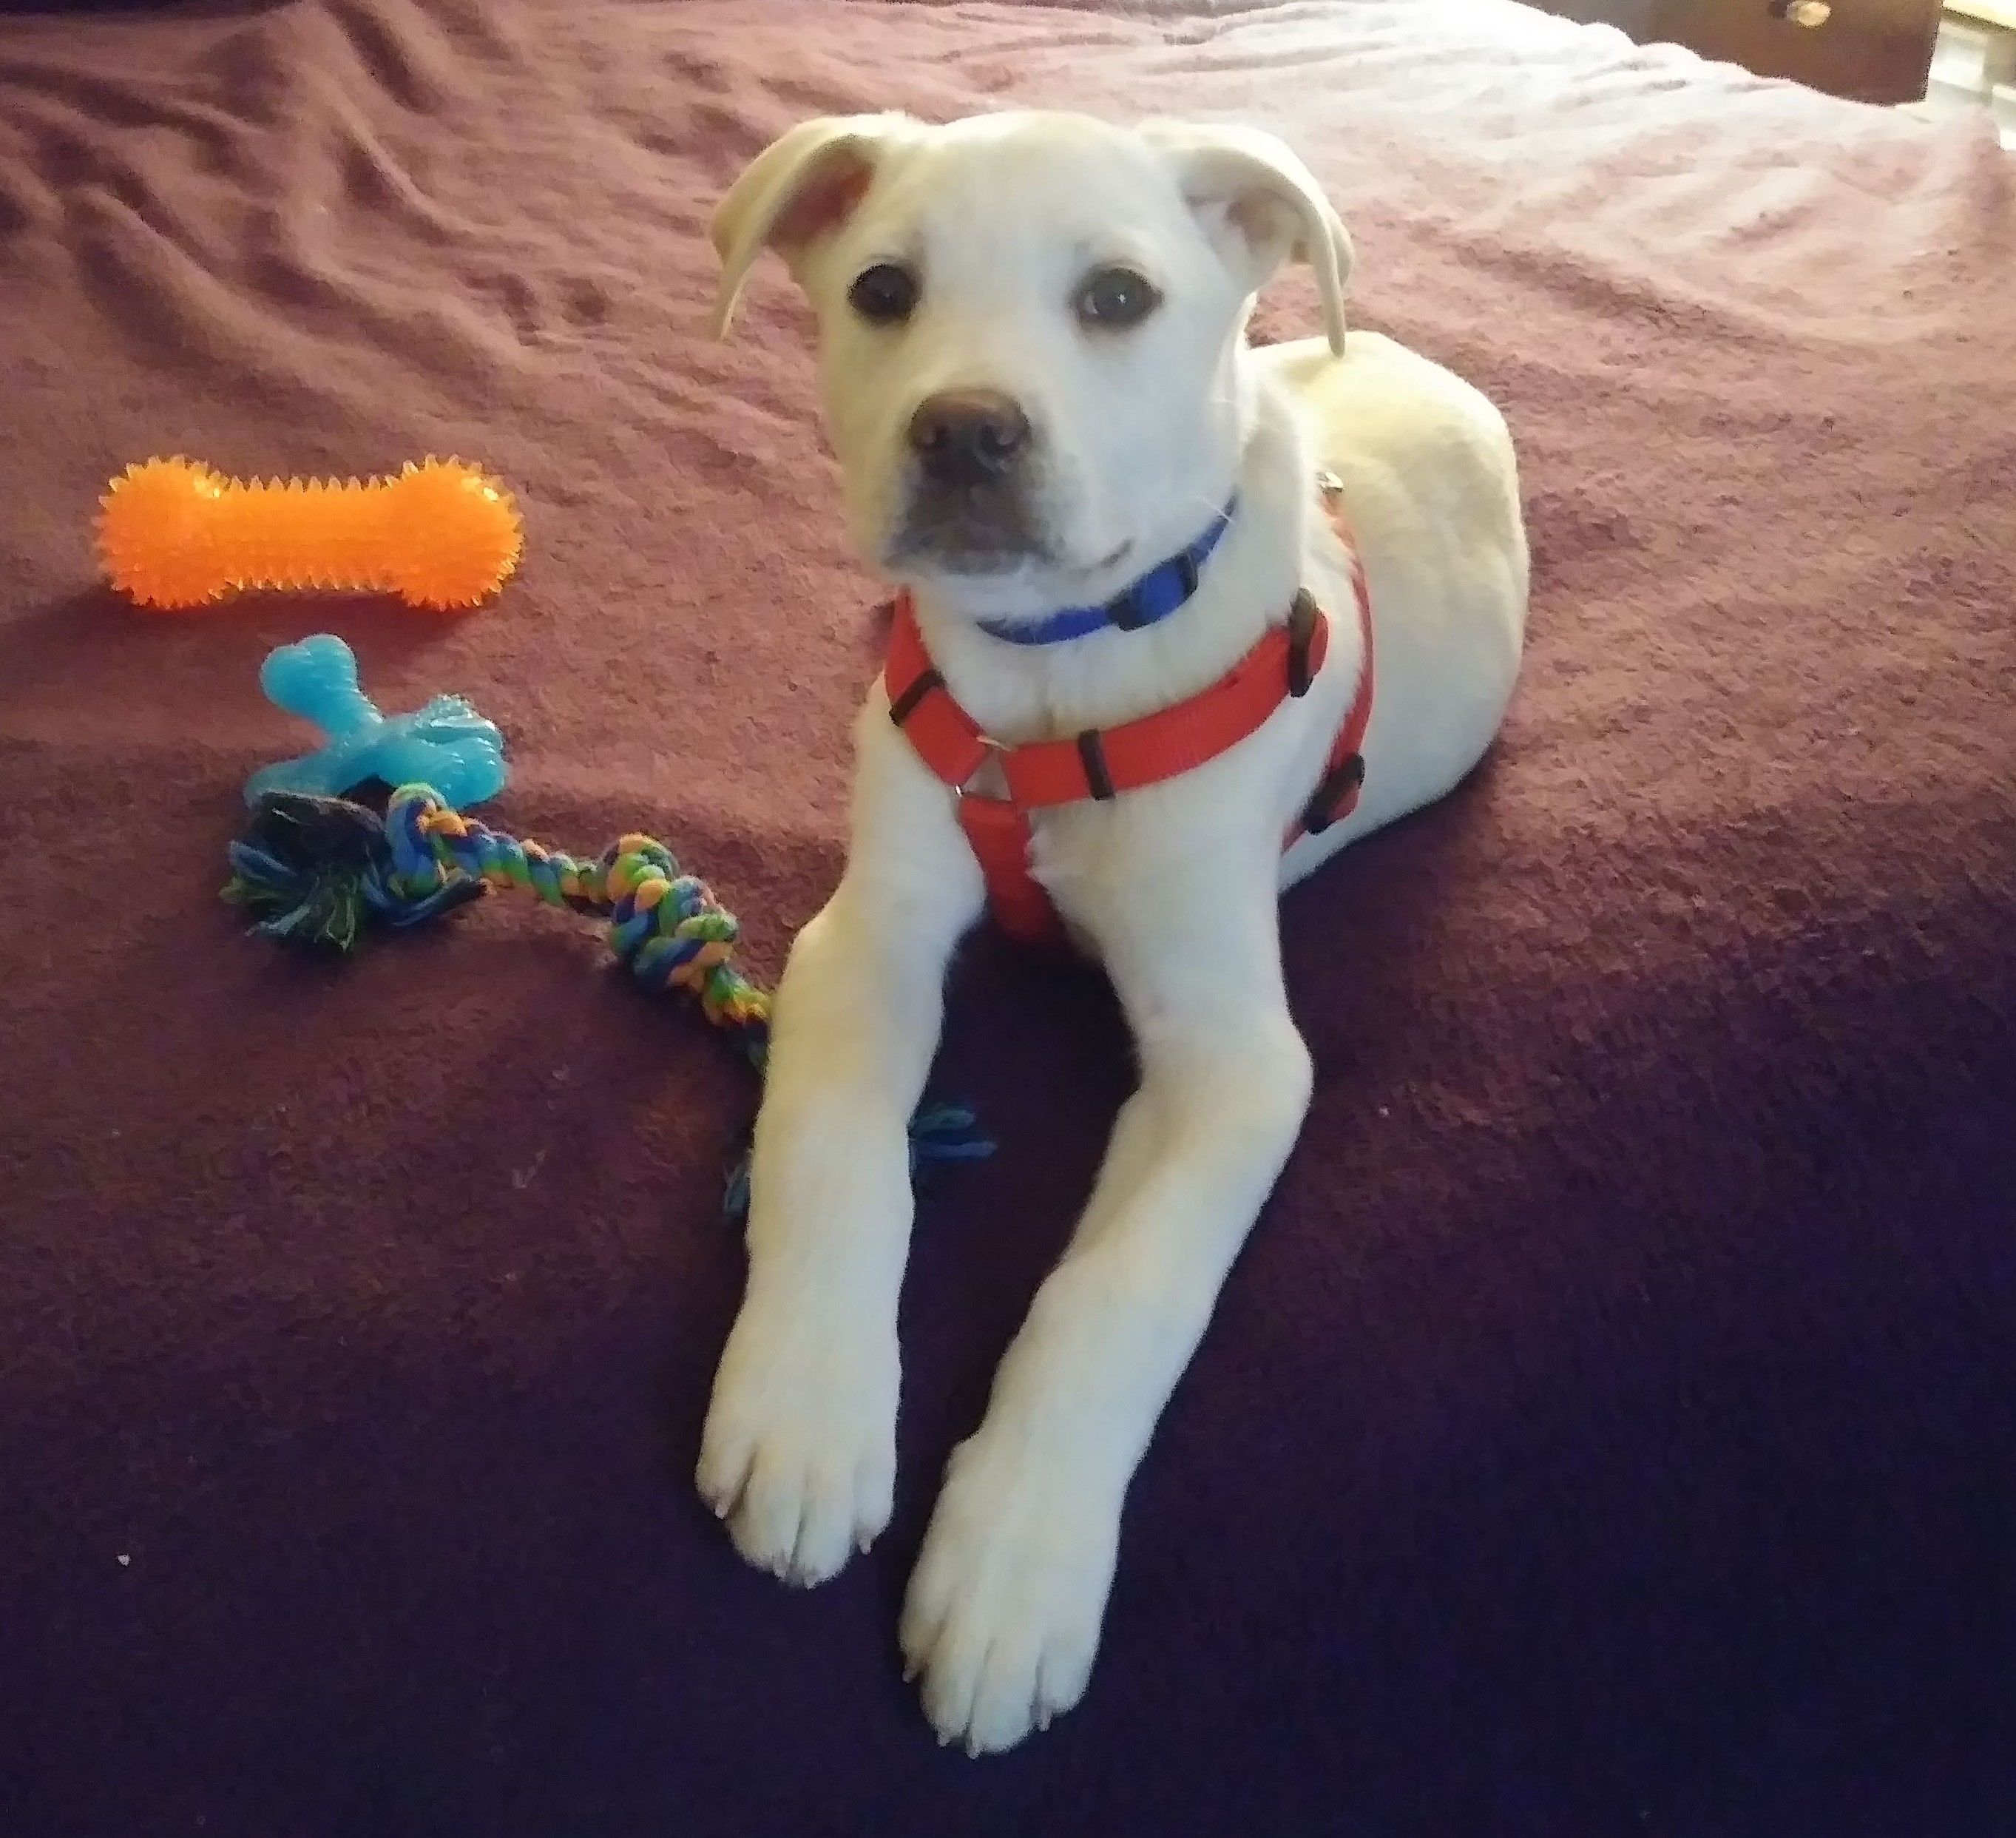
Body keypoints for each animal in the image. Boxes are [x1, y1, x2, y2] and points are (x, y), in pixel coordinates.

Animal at [693, 111, 1523, 1749]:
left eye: (1119, 299)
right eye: (882, 290)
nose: (964, 432)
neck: (1051, 674)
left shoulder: (1234, 1062)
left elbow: (1118, 1289)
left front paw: (1015, 1560)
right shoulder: (868, 934)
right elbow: (836, 1149)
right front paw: (809, 1407)